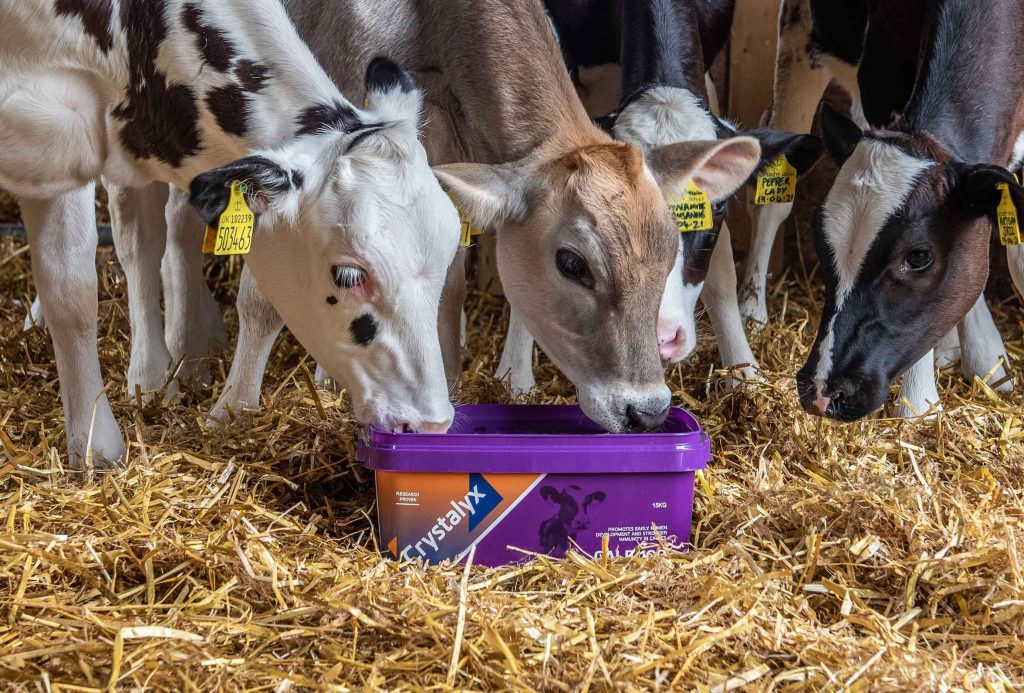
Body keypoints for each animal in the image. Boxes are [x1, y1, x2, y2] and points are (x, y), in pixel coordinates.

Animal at [742, 0, 1015, 417]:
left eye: (918, 256)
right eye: (819, 241)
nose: (821, 390)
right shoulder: (880, 88)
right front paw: (917, 404)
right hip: (800, 41)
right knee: (773, 200)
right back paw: (751, 311)